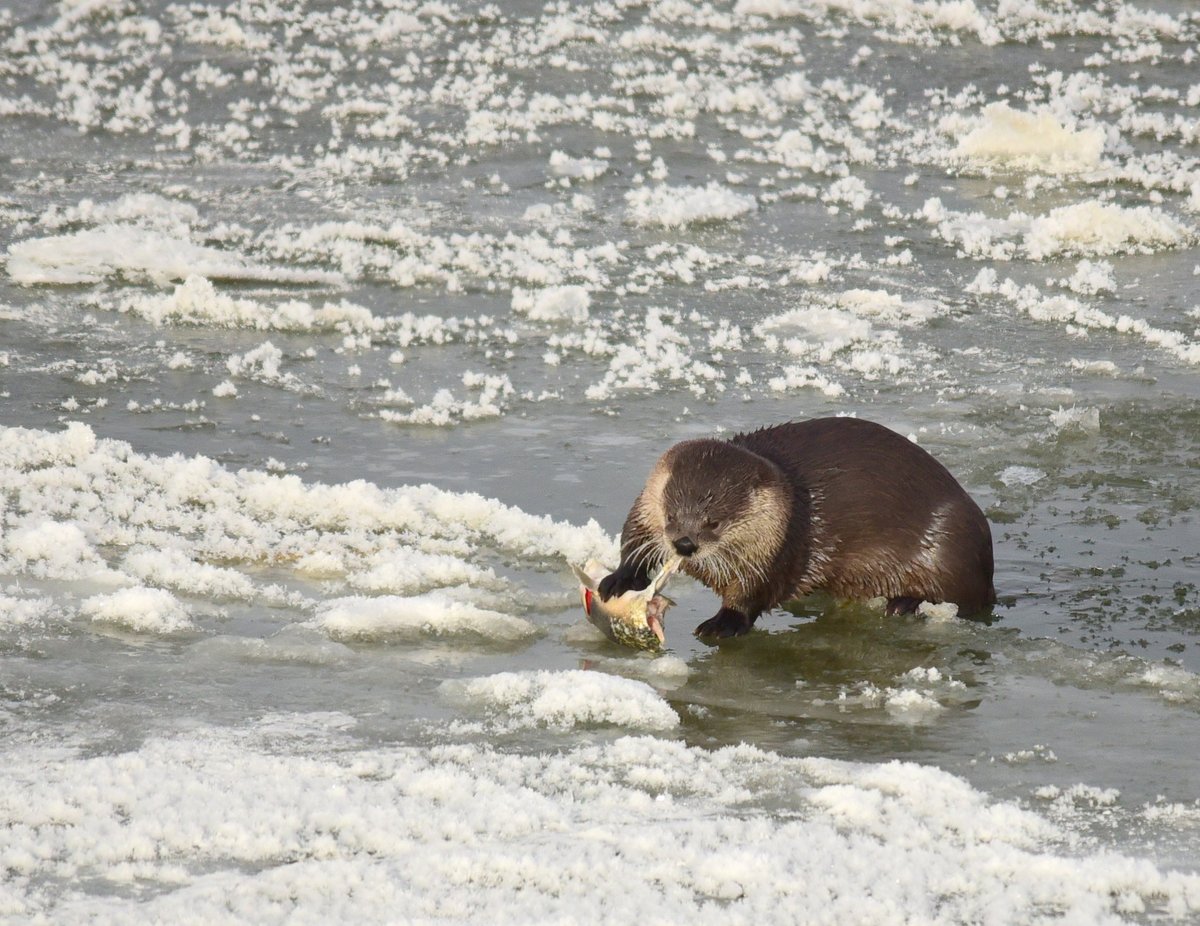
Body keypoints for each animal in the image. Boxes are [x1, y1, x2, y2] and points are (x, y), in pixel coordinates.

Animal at [598, 417, 996, 638]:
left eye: (714, 522)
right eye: (671, 516)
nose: (683, 544)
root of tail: (987, 565)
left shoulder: (781, 548)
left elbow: (753, 592)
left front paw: (723, 623)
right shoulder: (645, 508)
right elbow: (632, 541)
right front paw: (618, 578)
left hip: (949, 544)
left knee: (967, 599)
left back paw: (905, 601)